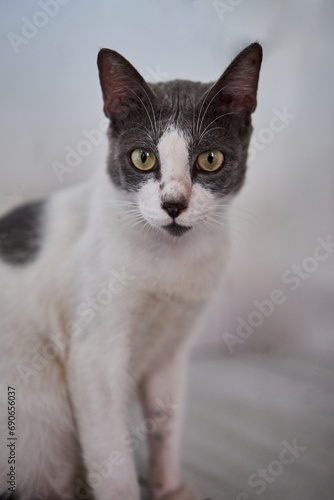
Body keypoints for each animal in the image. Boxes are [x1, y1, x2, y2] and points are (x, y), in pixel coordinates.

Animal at [0, 44, 260, 500]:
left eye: (210, 159)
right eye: (143, 158)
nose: (173, 203)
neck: (171, 264)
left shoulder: (171, 348)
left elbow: (166, 422)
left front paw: (169, 488)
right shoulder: (94, 358)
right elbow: (112, 458)